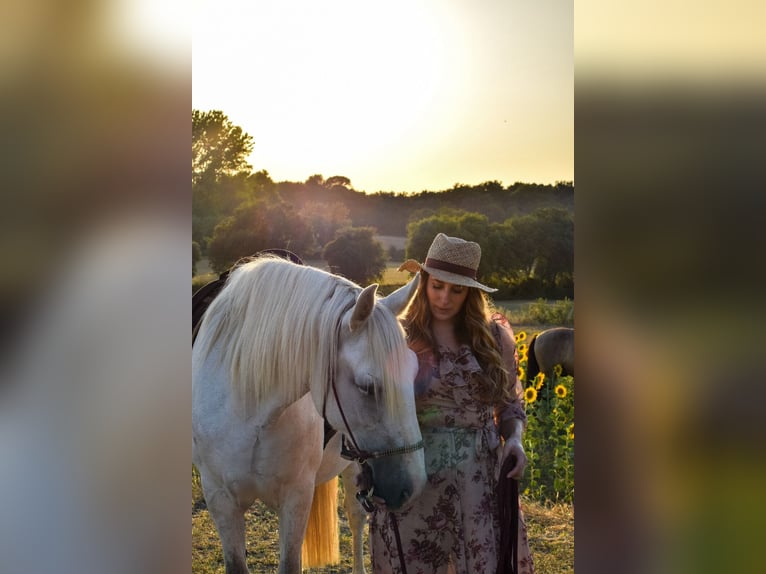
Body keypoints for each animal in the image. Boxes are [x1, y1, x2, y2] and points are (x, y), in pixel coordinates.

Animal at [191, 258, 426, 572]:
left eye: (414, 372)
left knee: (356, 519)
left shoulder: (296, 496)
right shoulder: (220, 499)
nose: (413, 488)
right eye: (367, 386)